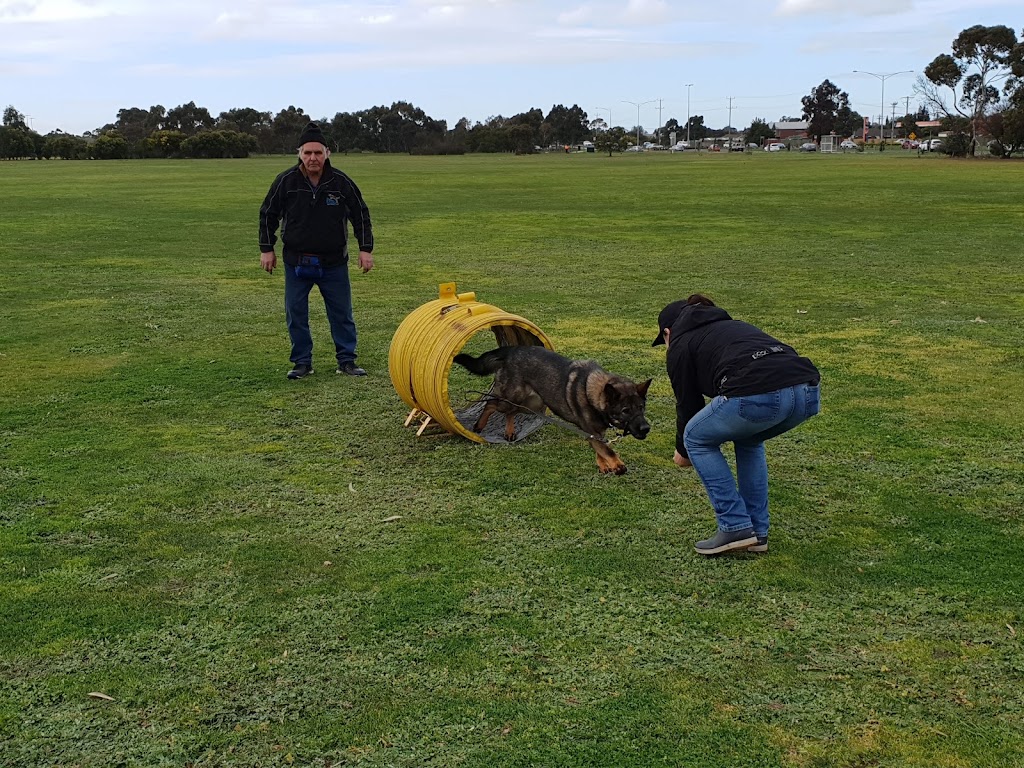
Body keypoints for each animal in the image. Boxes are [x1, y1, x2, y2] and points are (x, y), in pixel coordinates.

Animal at [454, 348, 651, 475]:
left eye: (641, 408)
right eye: (625, 410)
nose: (646, 428)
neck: (593, 393)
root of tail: (509, 351)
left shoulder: (595, 434)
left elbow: (601, 450)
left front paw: (604, 466)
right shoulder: (593, 432)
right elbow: (608, 450)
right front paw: (618, 465)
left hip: (529, 406)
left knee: (510, 413)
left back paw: (509, 433)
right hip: (510, 400)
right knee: (490, 404)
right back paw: (479, 426)